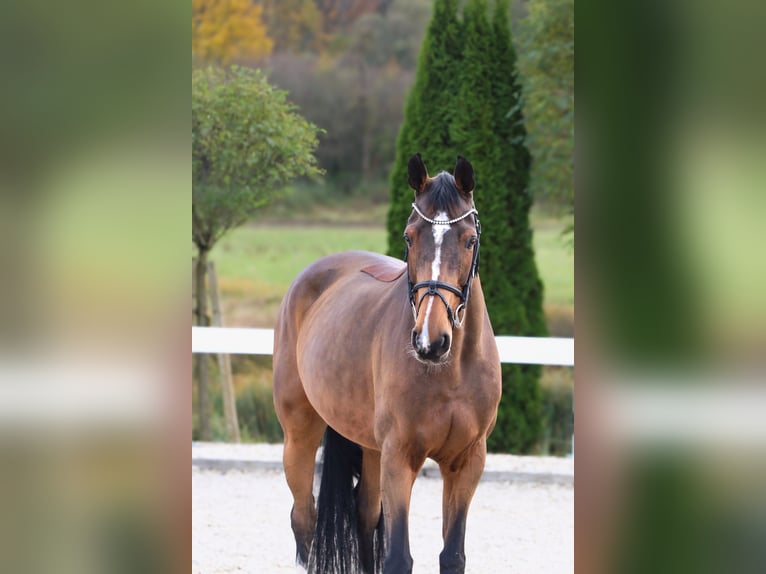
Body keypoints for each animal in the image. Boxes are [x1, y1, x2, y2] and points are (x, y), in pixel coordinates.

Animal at [273, 154, 502, 574]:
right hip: (300, 435)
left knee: (363, 515)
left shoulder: (467, 461)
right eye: (409, 237)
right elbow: (397, 556)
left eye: (470, 240)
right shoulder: (400, 458)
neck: (450, 372)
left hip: (371, 449)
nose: (430, 340)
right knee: (304, 519)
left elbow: (452, 554)